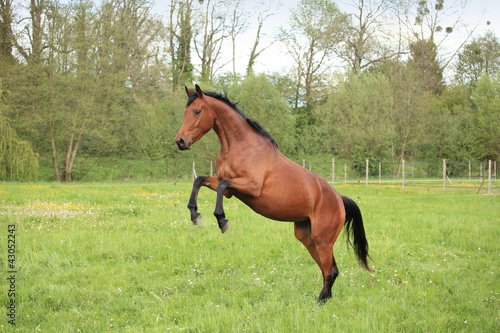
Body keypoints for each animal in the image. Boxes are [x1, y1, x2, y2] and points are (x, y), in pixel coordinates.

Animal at [176, 83, 372, 300]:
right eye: (185, 112)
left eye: (197, 111)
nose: (180, 141)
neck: (240, 147)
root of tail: (339, 199)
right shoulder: (228, 188)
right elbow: (199, 180)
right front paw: (195, 215)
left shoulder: (250, 187)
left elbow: (221, 185)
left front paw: (222, 220)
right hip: (307, 237)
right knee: (325, 269)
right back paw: (323, 299)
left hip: (323, 239)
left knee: (331, 270)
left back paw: (320, 301)